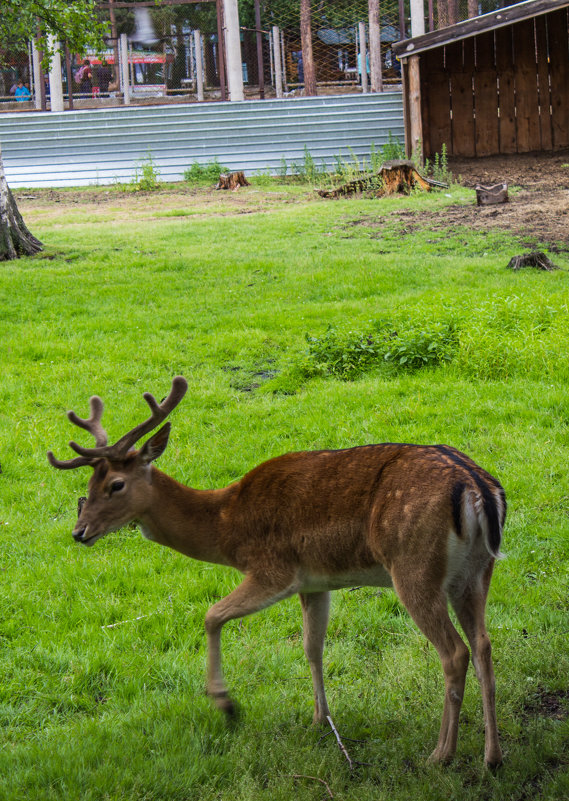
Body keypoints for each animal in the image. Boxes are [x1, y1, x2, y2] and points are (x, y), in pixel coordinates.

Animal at [46, 376, 504, 768]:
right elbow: (312, 647)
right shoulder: (315, 582)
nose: (79, 532)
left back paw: (441, 754)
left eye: (116, 485)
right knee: (482, 644)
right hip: (474, 573)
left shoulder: (274, 569)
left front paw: (226, 704)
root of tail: (478, 488)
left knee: (454, 652)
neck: (227, 524)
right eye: (89, 484)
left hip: (413, 568)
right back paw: (492, 756)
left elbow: (211, 615)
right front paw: (320, 719)